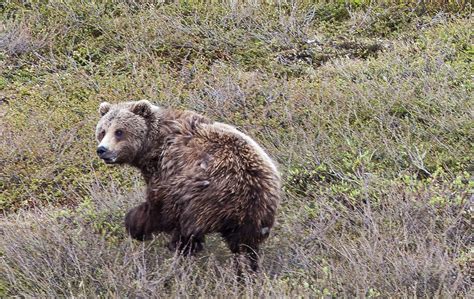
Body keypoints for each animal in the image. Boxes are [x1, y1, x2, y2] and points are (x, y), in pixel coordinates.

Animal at [96, 99, 280, 274]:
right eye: (103, 131)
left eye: (119, 131)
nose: (102, 150)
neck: (152, 147)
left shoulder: (167, 169)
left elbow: (158, 206)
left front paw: (135, 224)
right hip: (256, 215)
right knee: (245, 247)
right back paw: (246, 272)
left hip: (203, 194)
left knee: (184, 226)